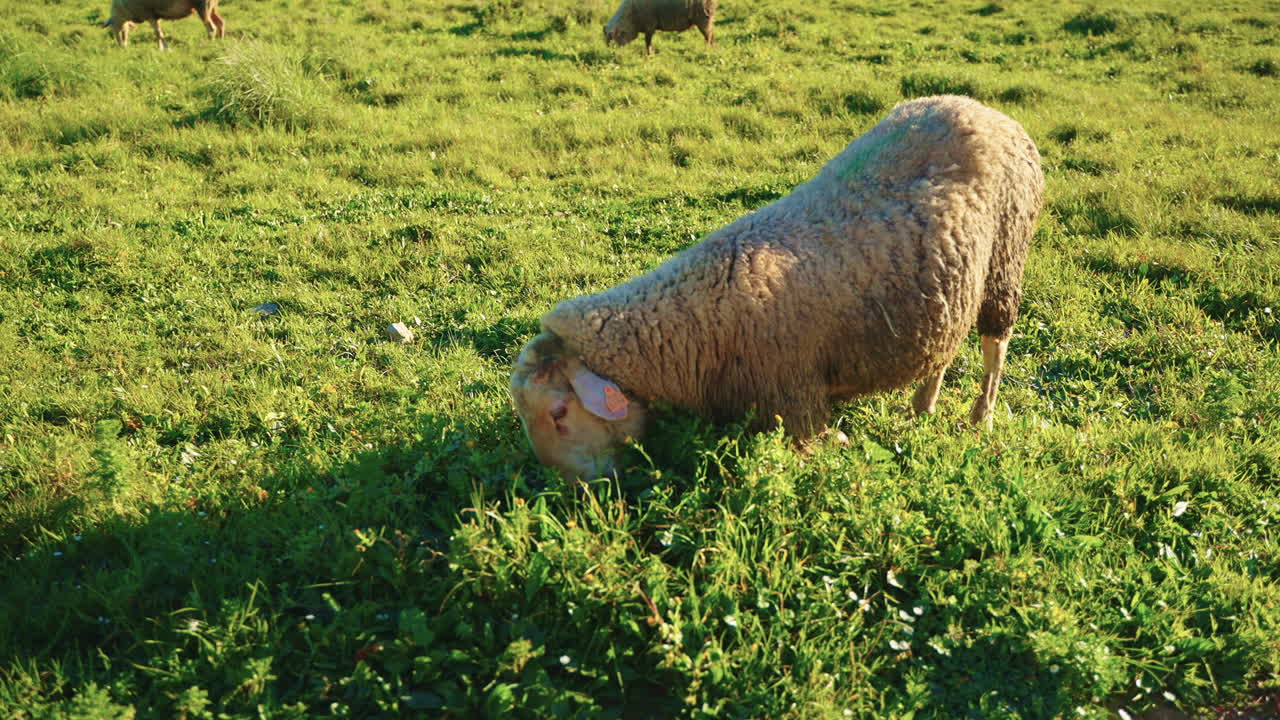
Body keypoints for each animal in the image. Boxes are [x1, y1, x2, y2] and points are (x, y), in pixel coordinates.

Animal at [510, 95, 1044, 479]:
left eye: (559, 411)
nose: (575, 489)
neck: (694, 324)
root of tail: (983, 108)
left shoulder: (795, 399)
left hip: (1006, 256)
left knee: (994, 342)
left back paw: (980, 417)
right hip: (954, 283)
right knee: (945, 344)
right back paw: (923, 406)